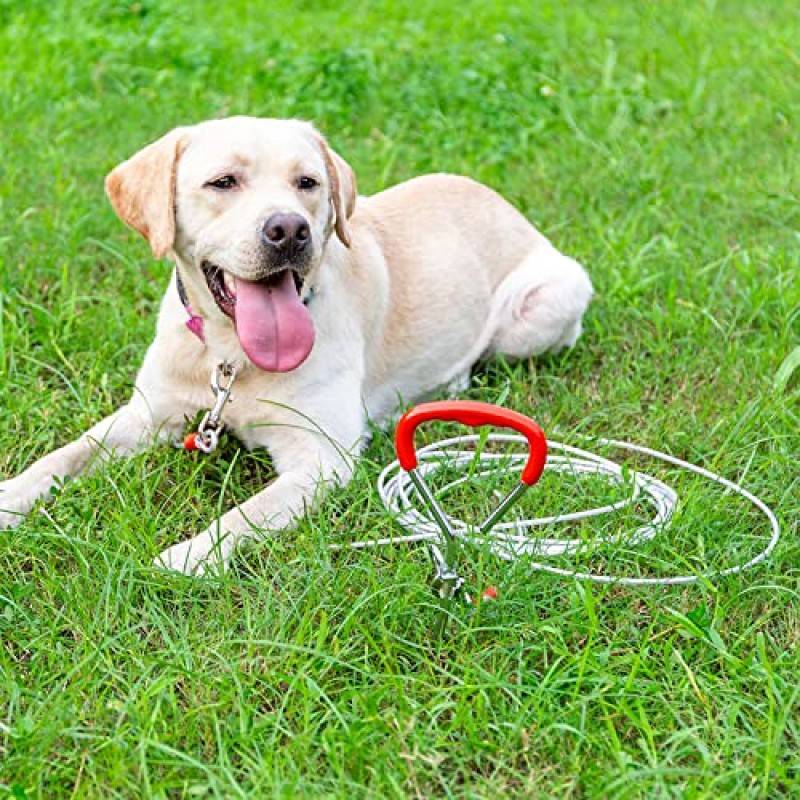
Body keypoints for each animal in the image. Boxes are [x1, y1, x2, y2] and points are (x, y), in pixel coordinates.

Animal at [0, 115, 588, 572]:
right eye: (223, 182)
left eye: (307, 182)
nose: (289, 230)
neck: (231, 356)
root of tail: (501, 201)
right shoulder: (148, 413)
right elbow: (64, 456)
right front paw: (10, 500)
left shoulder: (322, 457)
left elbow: (243, 515)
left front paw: (187, 557)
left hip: (546, 303)